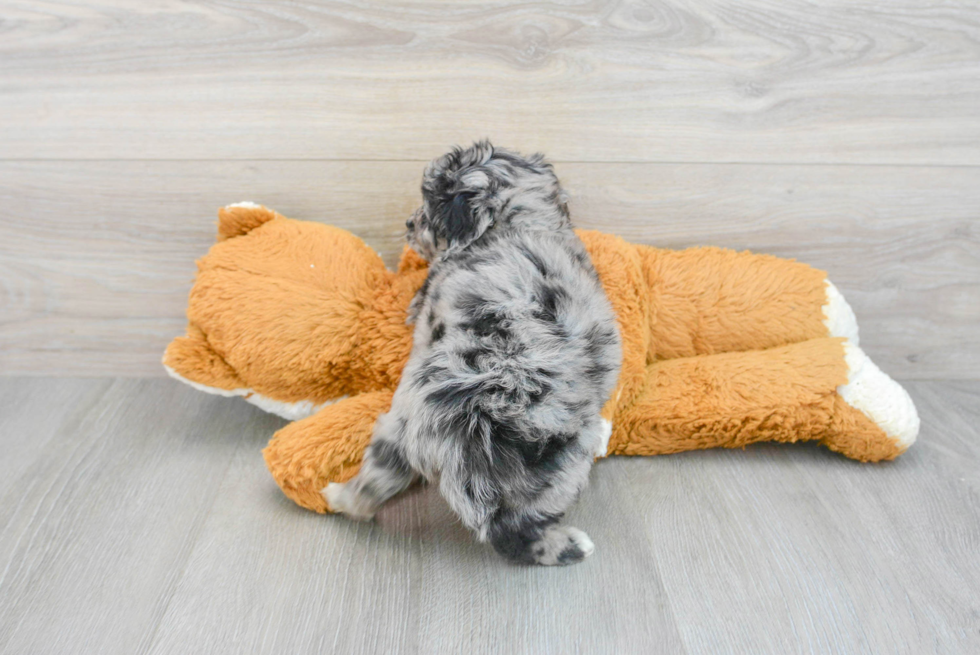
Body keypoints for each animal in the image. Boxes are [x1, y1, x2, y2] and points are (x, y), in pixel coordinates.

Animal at [328, 141, 620, 568]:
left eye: (428, 207)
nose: (408, 224)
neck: (521, 221)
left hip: (400, 427)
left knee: (379, 485)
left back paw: (339, 497)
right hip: (557, 467)